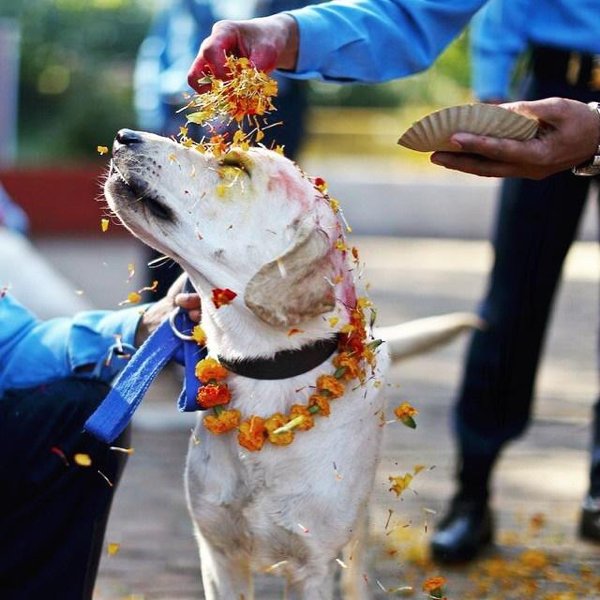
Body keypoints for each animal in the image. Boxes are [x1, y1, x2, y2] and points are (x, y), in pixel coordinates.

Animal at [104, 129, 478, 596]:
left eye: (234, 166)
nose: (124, 135)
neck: (266, 377)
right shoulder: (218, 553)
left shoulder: (313, 567)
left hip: (355, 534)